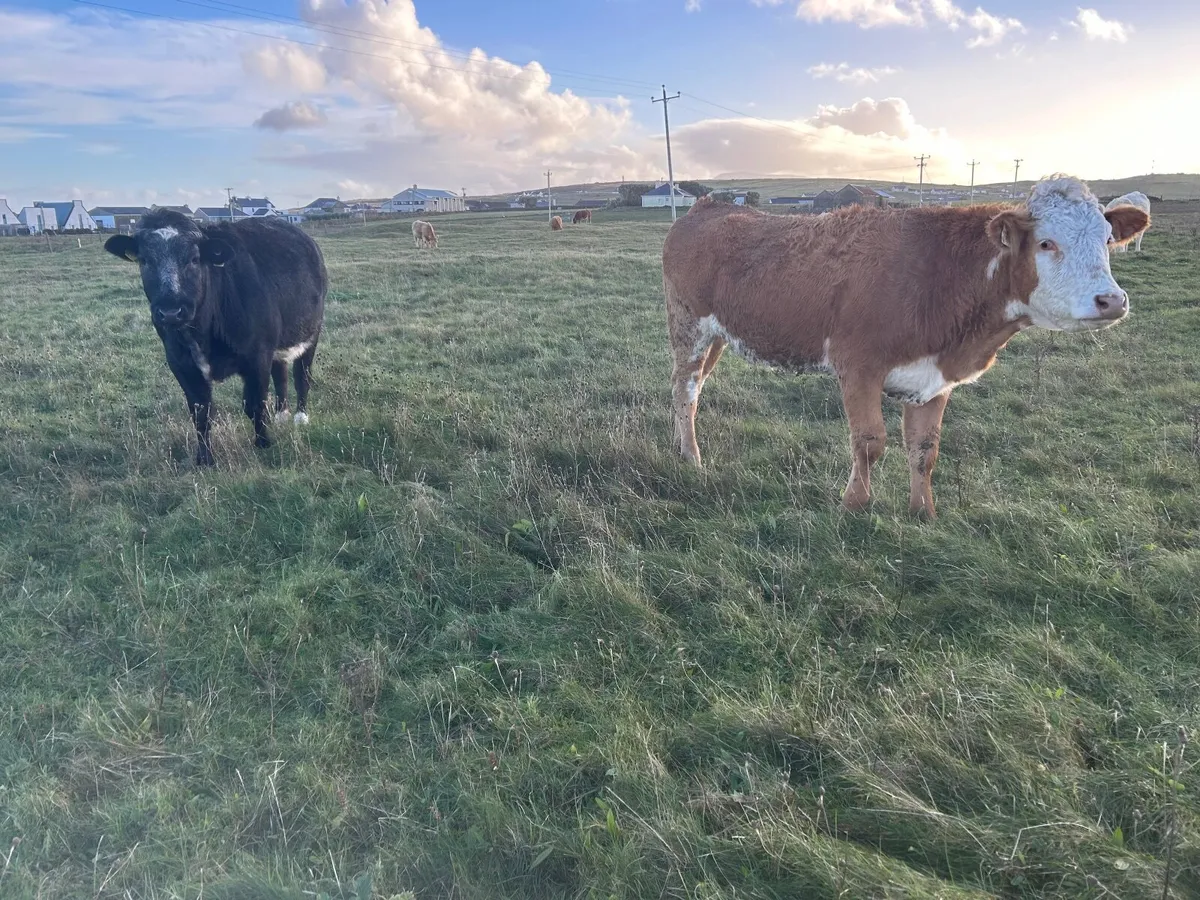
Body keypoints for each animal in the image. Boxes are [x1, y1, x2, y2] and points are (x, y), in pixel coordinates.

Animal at [104, 209, 327, 467]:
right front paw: (205, 459)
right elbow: (200, 411)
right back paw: (282, 415)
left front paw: (263, 444)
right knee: (280, 374)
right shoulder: (180, 363)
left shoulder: (257, 355)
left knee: (302, 375)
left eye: (194, 258)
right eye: (144, 260)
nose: (170, 311)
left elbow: (255, 404)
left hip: (312, 332)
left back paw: (300, 417)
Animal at [662, 175, 1149, 519]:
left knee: (689, 388)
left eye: (1107, 240)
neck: (939, 275)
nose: (1112, 300)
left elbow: (924, 449)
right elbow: (869, 442)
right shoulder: (858, 367)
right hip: (688, 325)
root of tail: (705, 207)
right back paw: (691, 457)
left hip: (717, 336)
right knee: (686, 391)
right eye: (1047, 243)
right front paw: (854, 505)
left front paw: (923, 512)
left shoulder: (934, 377)